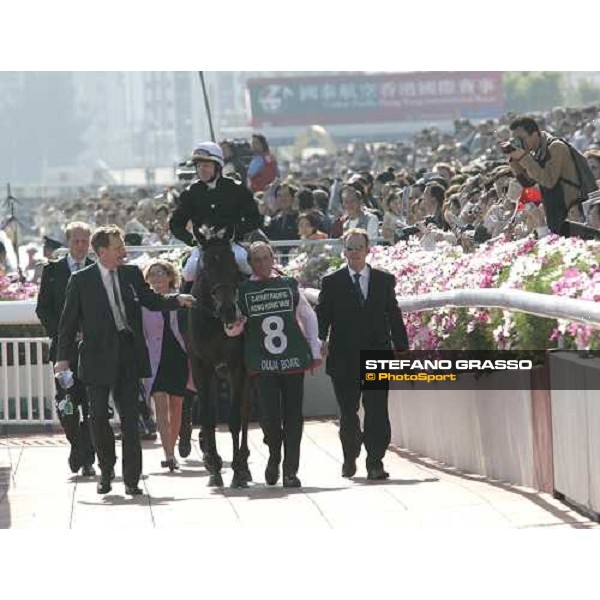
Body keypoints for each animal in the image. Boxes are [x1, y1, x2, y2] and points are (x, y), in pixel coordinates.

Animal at [188, 230, 253, 488]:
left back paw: (244, 463)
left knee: (244, 411)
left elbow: (235, 417)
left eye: (233, 262)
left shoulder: (237, 365)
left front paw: (237, 470)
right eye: (205, 266)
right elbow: (207, 415)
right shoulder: (201, 365)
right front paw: (214, 467)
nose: (228, 310)